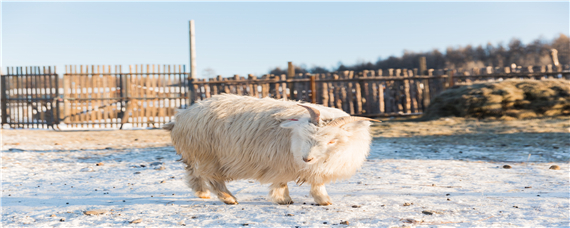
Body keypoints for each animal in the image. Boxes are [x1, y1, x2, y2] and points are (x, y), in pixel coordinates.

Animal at [163, 93, 378, 206]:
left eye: (332, 141)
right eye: (304, 135)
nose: (306, 159)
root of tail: (181, 117)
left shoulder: (309, 167)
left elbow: (316, 182)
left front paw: (322, 200)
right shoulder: (280, 163)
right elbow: (282, 182)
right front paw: (285, 199)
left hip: (196, 154)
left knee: (194, 173)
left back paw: (202, 193)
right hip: (209, 156)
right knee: (214, 179)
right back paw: (229, 199)